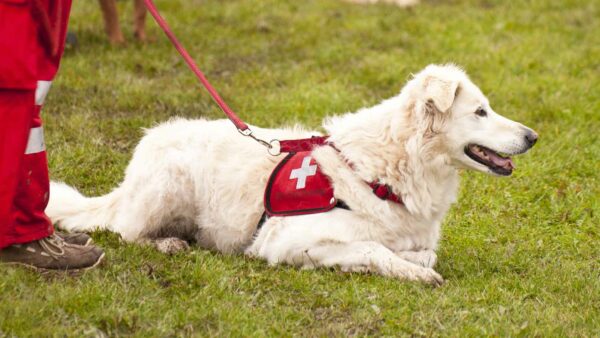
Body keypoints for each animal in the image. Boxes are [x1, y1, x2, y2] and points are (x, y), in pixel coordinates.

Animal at [44, 64, 536, 286]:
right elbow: (372, 248)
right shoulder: (287, 241)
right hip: (169, 184)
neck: (388, 168)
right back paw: (167, 243)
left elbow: (421, 251)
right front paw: (409, 271)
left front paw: (415, 260)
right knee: (126, 231)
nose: (533, 136)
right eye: (480, 111)